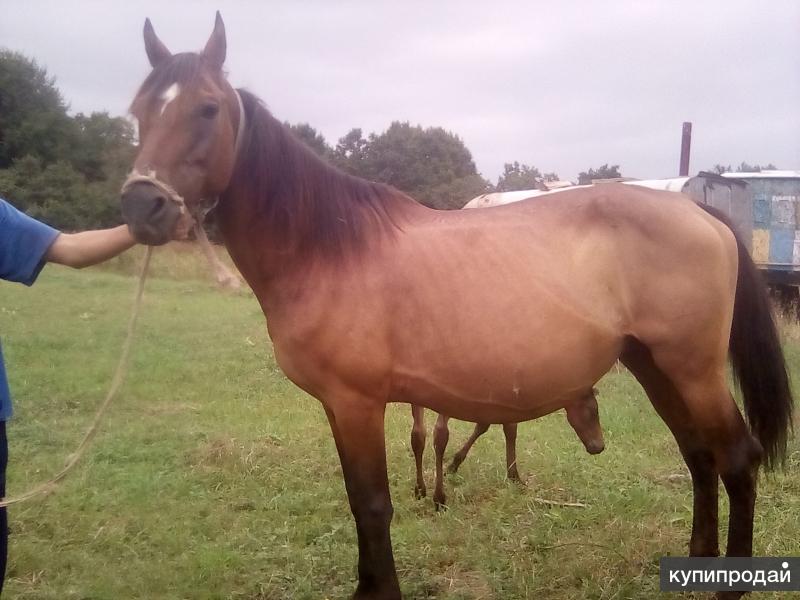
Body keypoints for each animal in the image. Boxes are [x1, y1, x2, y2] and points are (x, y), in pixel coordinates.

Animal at [412, 386, 600, 508]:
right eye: (593, 410)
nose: (599, 446)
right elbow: (505, 425)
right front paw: (514, 476)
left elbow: (490, 424)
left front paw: (453, 464)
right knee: (436, 433)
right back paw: (438, 497)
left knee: (419, 434)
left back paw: (421, 489)